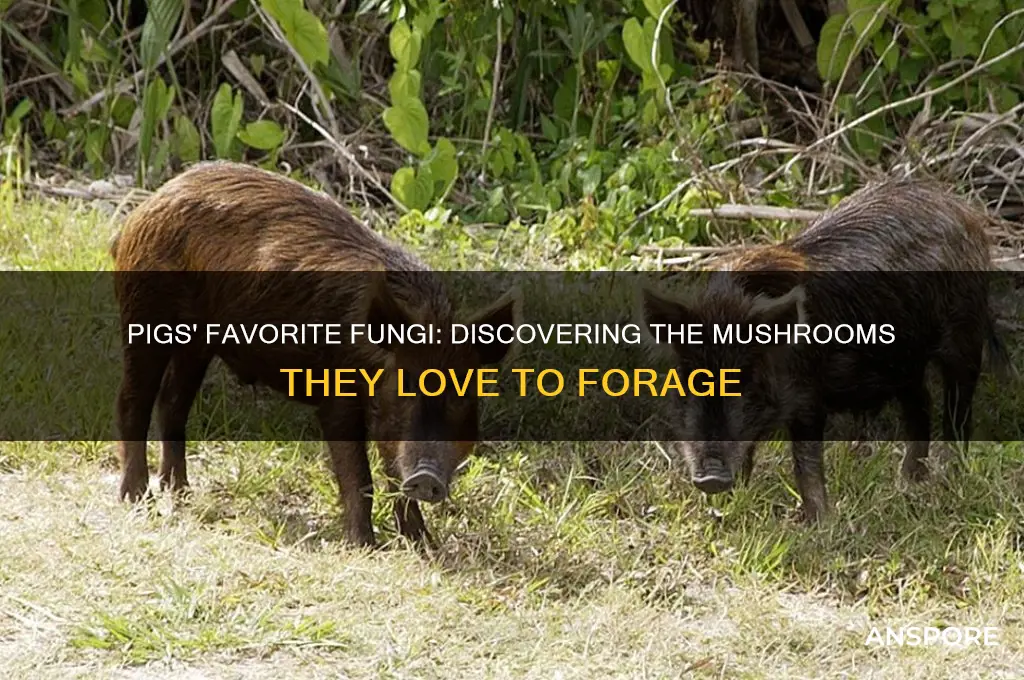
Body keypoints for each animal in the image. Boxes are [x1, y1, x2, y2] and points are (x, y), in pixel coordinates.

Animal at [110, 160, 520, 547]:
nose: (426, 477)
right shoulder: (338, 397)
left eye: (461, 397)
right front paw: (364, 547)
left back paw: (180, 491)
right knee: (132, 400)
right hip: (144, 311)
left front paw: (425, 546)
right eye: (405, 391)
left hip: (197, 342)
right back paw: (137, 498)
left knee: (172, 402)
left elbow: (393, 472)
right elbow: (359, 475)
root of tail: (146, 205)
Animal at [638, 178, 1011, 522]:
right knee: (921, 403)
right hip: (904, 363)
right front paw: (725, 509)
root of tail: (963, 210)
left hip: (963, 334)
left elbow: (805, 461)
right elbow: (749, 451)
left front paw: (817, 523)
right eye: (686, 381)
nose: (711, 478)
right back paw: (909, 481)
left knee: (957, 407)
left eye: (746, 380)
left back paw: (950, 476)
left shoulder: (808, 395)